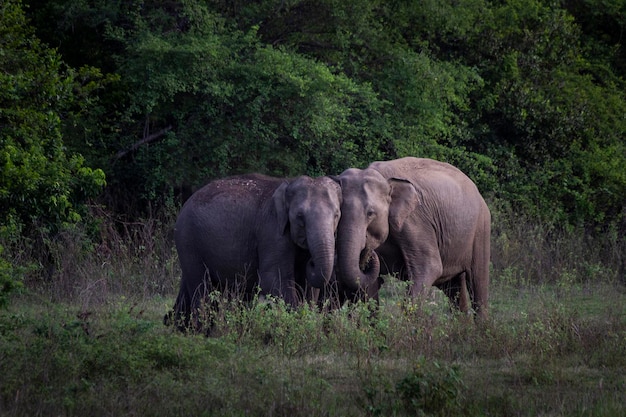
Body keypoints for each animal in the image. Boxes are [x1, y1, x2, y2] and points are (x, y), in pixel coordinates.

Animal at [165, 172, 342, 332]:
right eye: (300, 216)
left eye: (336, 215)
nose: (311, 262)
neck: (288, 183)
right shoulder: (271, 231)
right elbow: (273, 279)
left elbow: (309, 287)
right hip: (187, 240)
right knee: (201, 288)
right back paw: (200, 333)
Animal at [334, 158, 490, 316]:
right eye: (338, 214)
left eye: (370, 213)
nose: (369, 252)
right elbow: (369, 283)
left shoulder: (415, 221)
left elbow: (430, 267)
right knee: (454, 288)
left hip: (481, 228)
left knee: (477, 280)